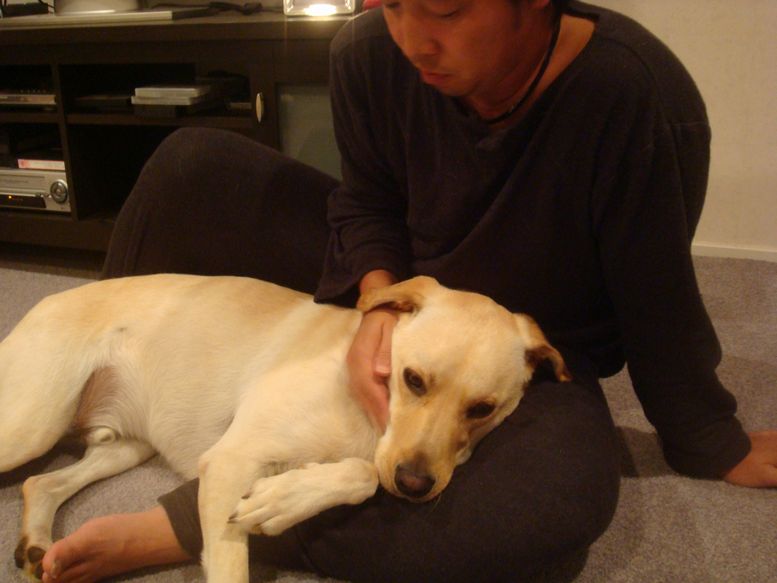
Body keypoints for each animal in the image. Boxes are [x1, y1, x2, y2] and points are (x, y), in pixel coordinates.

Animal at [0, 274, 570, 582]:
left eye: (482, 409)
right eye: (413, 380)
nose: (413, 487)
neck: (373, 413)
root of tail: (49, 300)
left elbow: (363, 473)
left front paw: (283, 499)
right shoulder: (230, 462)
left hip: (124, 447)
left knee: (41, 483)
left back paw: (38, 542)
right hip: (30, 426)